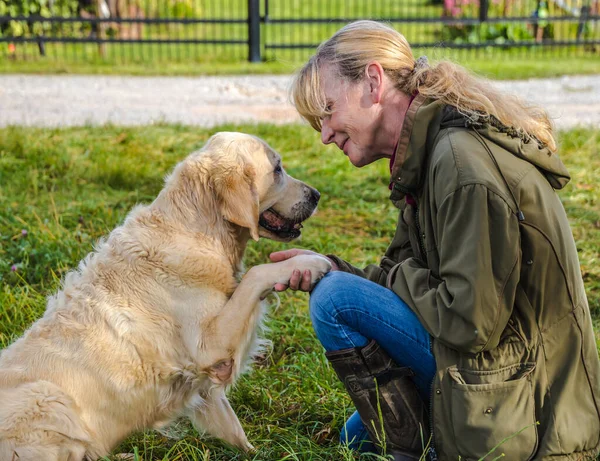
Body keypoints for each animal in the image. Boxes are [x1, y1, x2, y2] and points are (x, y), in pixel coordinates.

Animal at [0, 132, 328, 460]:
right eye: (277, 169)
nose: (316, 195)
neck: (200, 230)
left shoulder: (207, 376)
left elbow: (230, 424)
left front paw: (255, 451)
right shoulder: (207, 344)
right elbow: (256, 274)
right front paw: (309, 262)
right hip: (49, 397)